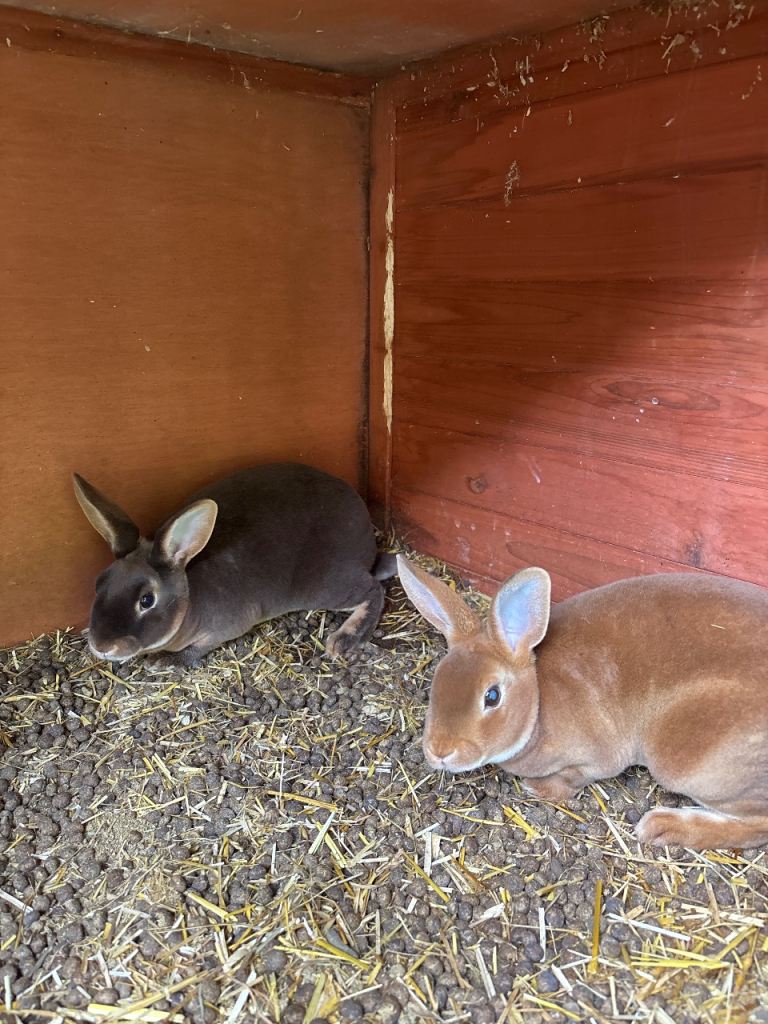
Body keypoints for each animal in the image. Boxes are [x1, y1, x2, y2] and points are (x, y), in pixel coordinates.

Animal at [72, 463, 396, 667]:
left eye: (147, 600)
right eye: (99, 583)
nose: (102, 647)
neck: (190, 600)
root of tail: (367, 540)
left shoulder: (225, 627)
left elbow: (199, 649)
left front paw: (164, 661)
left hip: (323, 584)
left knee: (373, 591)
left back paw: (344, 639)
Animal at [397, 555, 768, 850]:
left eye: (492, 696)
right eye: (436, 683)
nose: (440, 751)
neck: (538, 700)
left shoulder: (596, 759)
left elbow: (573, 780)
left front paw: (537, 787)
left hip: (686, 760)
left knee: (757, 824)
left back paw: (661, 826)